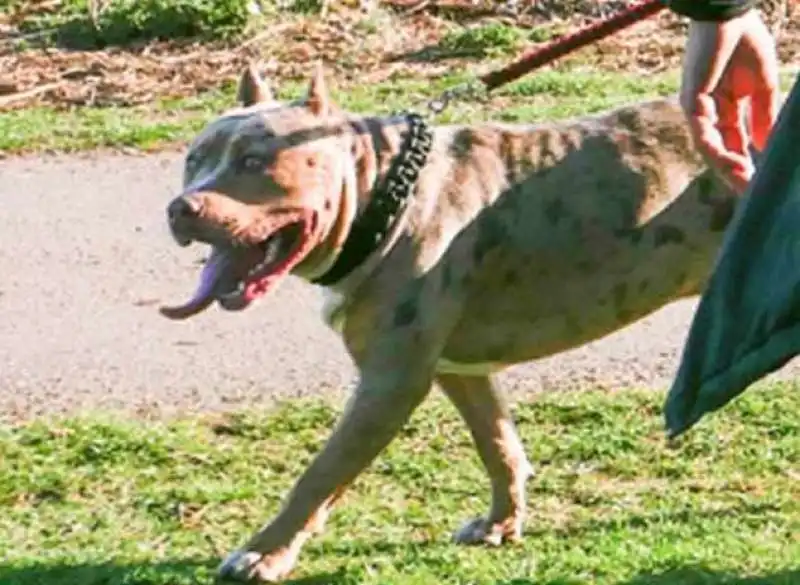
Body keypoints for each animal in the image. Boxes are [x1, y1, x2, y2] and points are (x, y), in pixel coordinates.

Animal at [159, 61, 740, 580]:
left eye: (254, 160)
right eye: (193, 159)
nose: (180, 208)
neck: (381, 197)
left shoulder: (391, 381)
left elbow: (321, 474)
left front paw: (264, 554)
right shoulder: (457, 369)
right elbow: (498, 444)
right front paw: (501, 523)